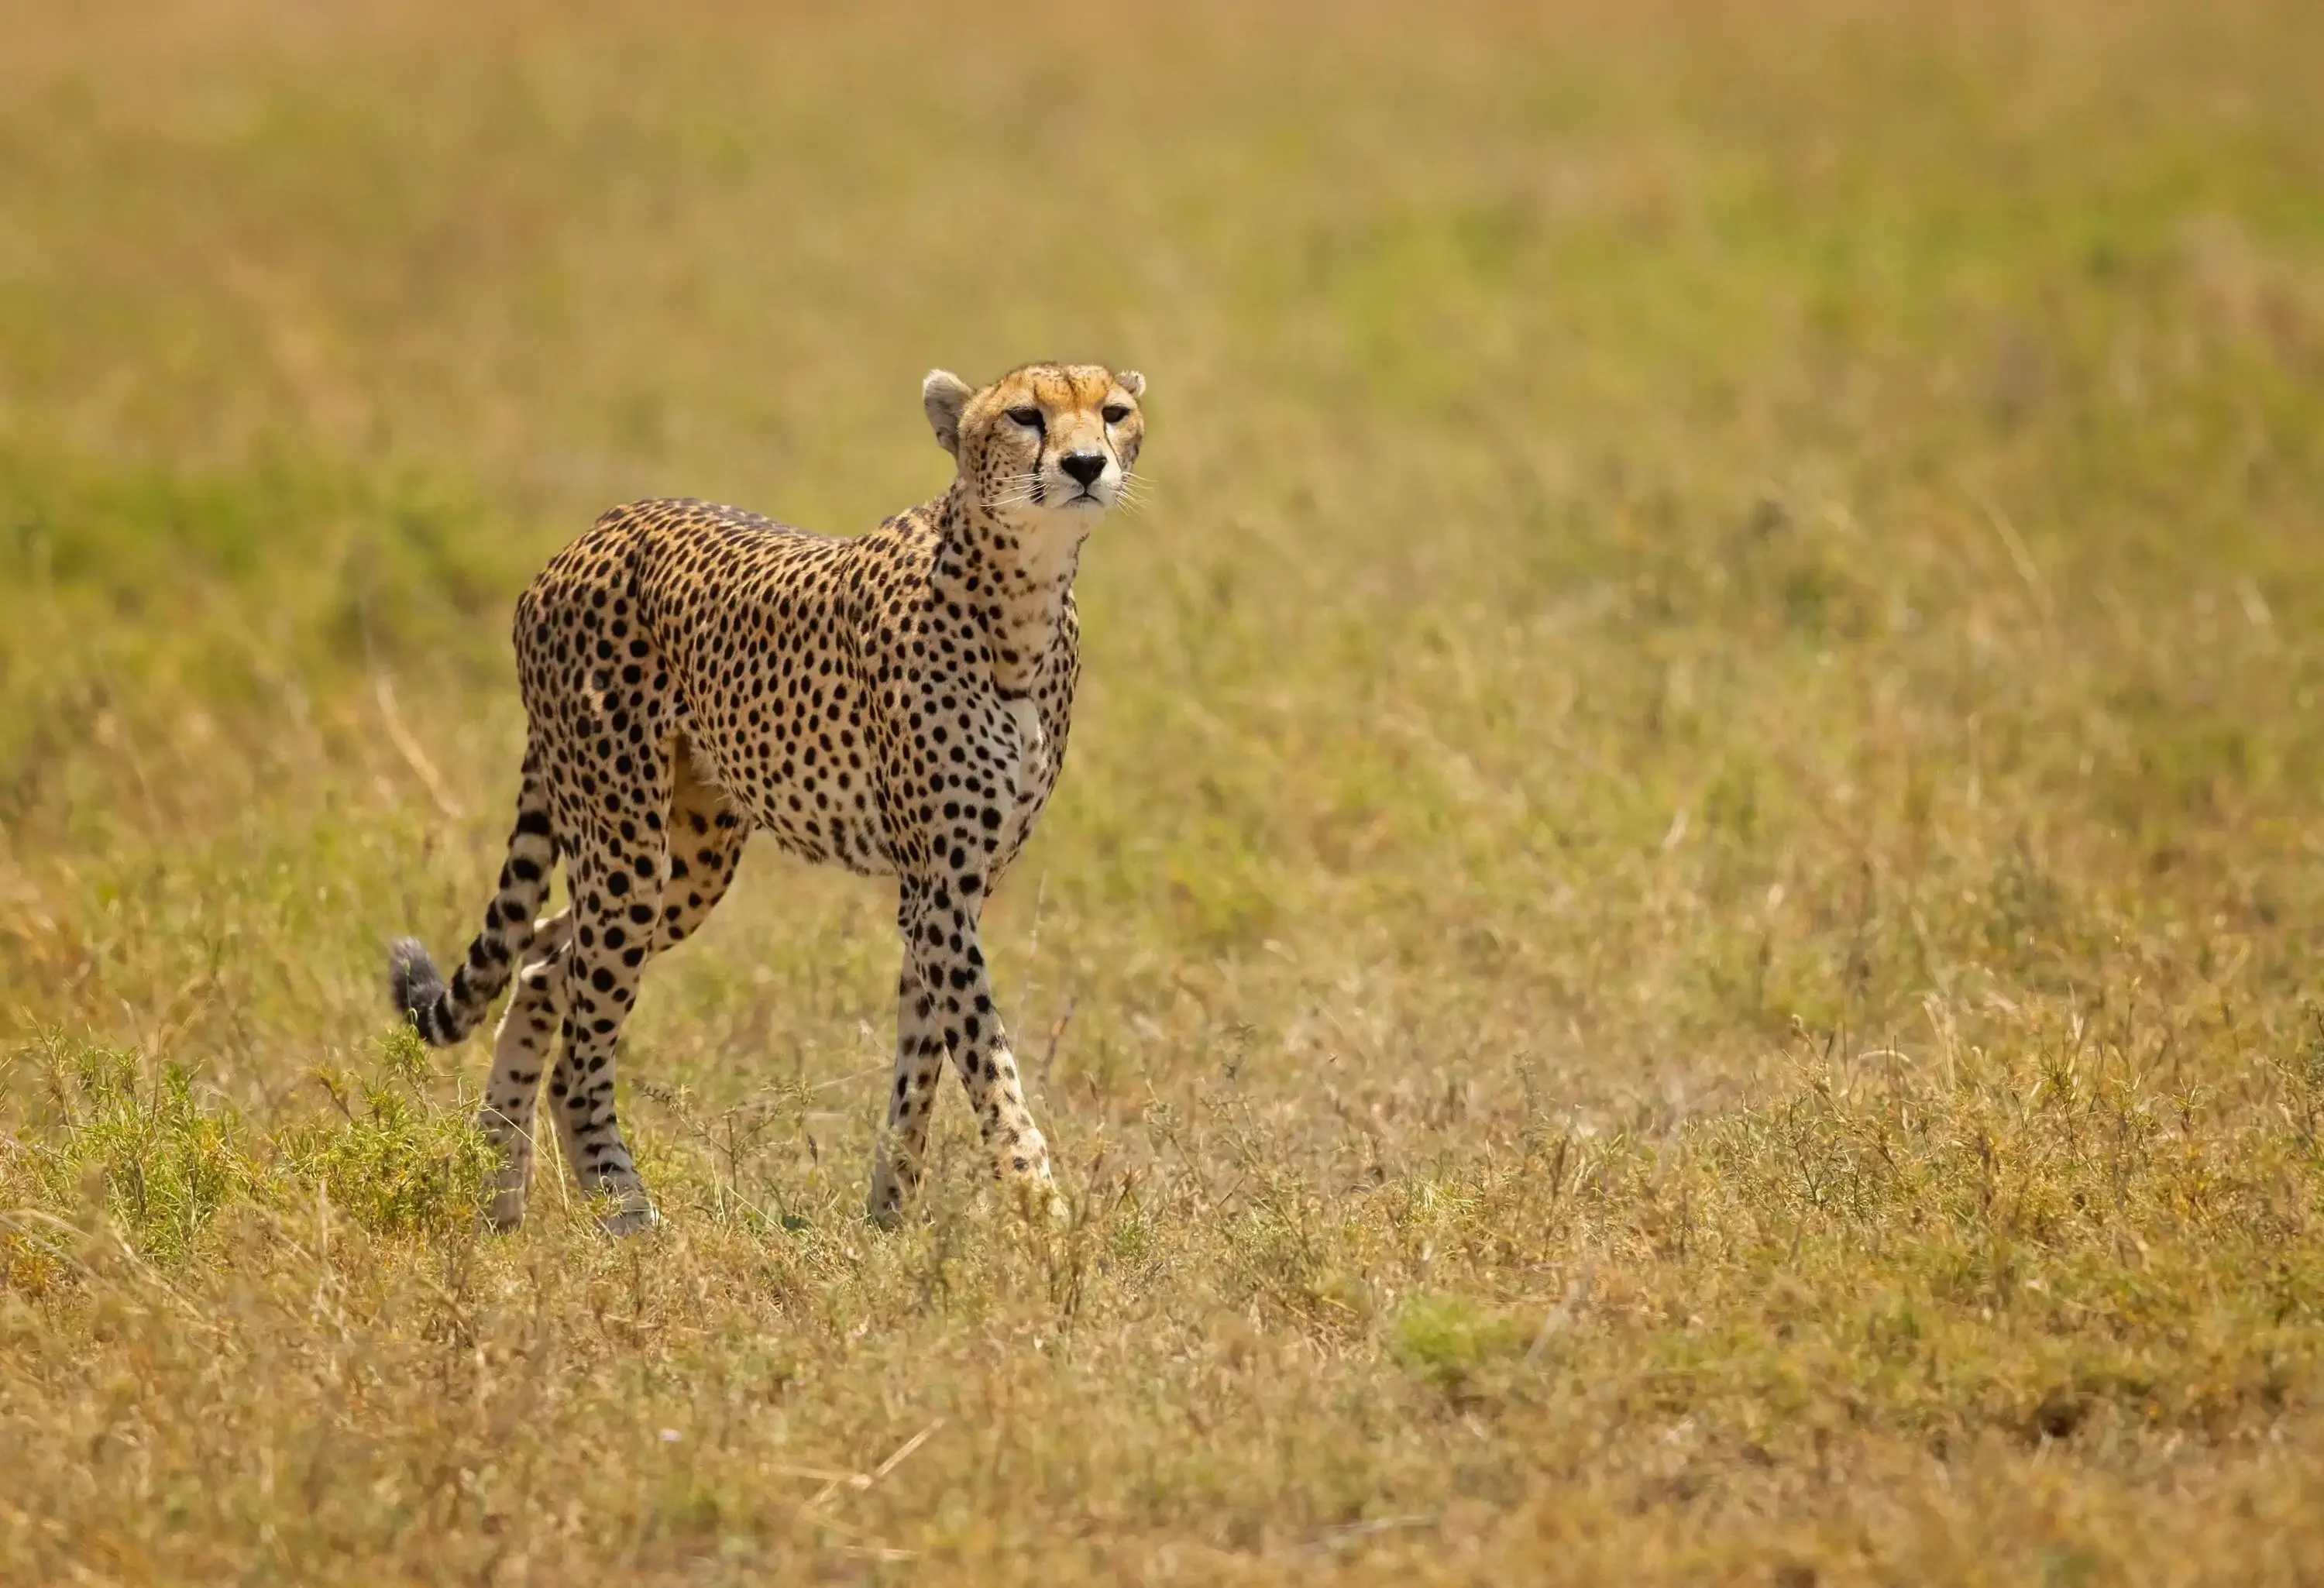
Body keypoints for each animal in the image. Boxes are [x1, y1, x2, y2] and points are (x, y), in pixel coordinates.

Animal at [385, 361, 1146, 1234]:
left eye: (1113, 412)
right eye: (1025, 416)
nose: (1085, 465)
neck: (1022, 593)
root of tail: (597, 528)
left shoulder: (951, 889)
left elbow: (921, 1067)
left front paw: (888, 1221)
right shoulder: (941, 892)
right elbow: (990, 1067)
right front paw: (1043, 1217)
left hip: (691, 862)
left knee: (545, 961)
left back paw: (500, 1196)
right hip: (625, 846)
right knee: (578, 1053)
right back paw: (626, 1217)